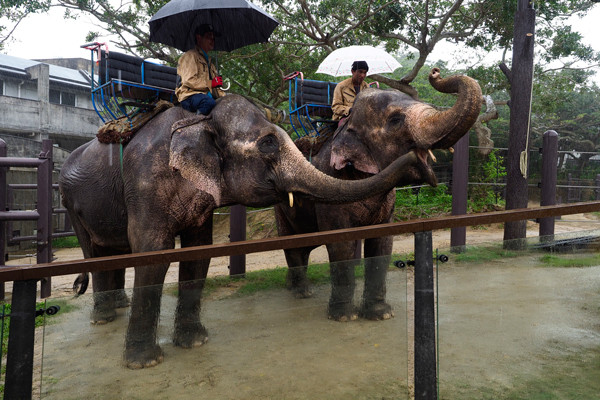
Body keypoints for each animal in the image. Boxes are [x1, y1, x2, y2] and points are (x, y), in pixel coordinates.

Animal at [57, 94, 426, 368]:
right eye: (268, 144)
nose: (420, 160)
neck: (199, 120)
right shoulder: (144, 183)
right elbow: (153, 253)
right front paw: (143, 363)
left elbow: (199, 252)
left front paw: (195, 342)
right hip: (69, 202)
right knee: (94, 252)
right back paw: (103, 318)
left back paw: (117, 306)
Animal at [274, 67, 480, 320]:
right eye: (395, 120)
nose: (435, 72)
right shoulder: (330, 185)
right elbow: (340, 244)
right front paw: (345, 317)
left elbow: (382, 242)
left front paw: (381, 314)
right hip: (280, 207)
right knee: (291, 243)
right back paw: (302, 292)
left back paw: (293, 286)